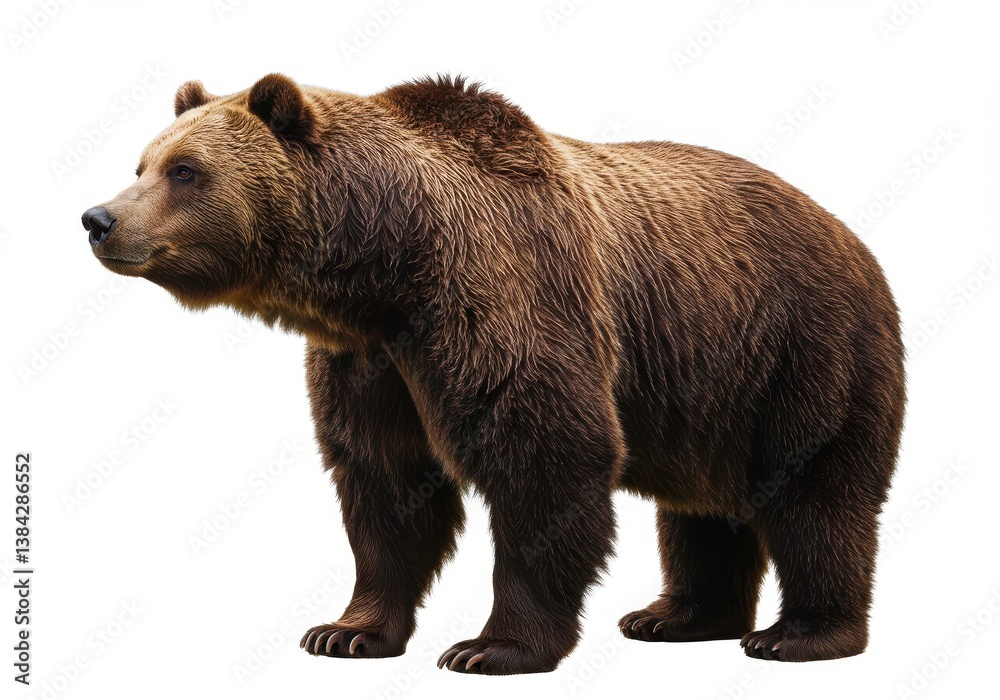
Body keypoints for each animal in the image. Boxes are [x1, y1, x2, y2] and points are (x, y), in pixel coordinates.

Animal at [82, 73, 905, 675]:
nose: (99, 219)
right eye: (141, 163)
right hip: (710, 383)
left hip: (801, 350)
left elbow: (543, 464)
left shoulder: (504, 297)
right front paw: (345, 631)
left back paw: (798, 634)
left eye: (187, 171)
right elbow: (383, 486)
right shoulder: (369, 365)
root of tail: (853, 236)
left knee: (817, 494)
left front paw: (491, 647)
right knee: (700, 504)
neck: (387, 271)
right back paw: (674, 616)